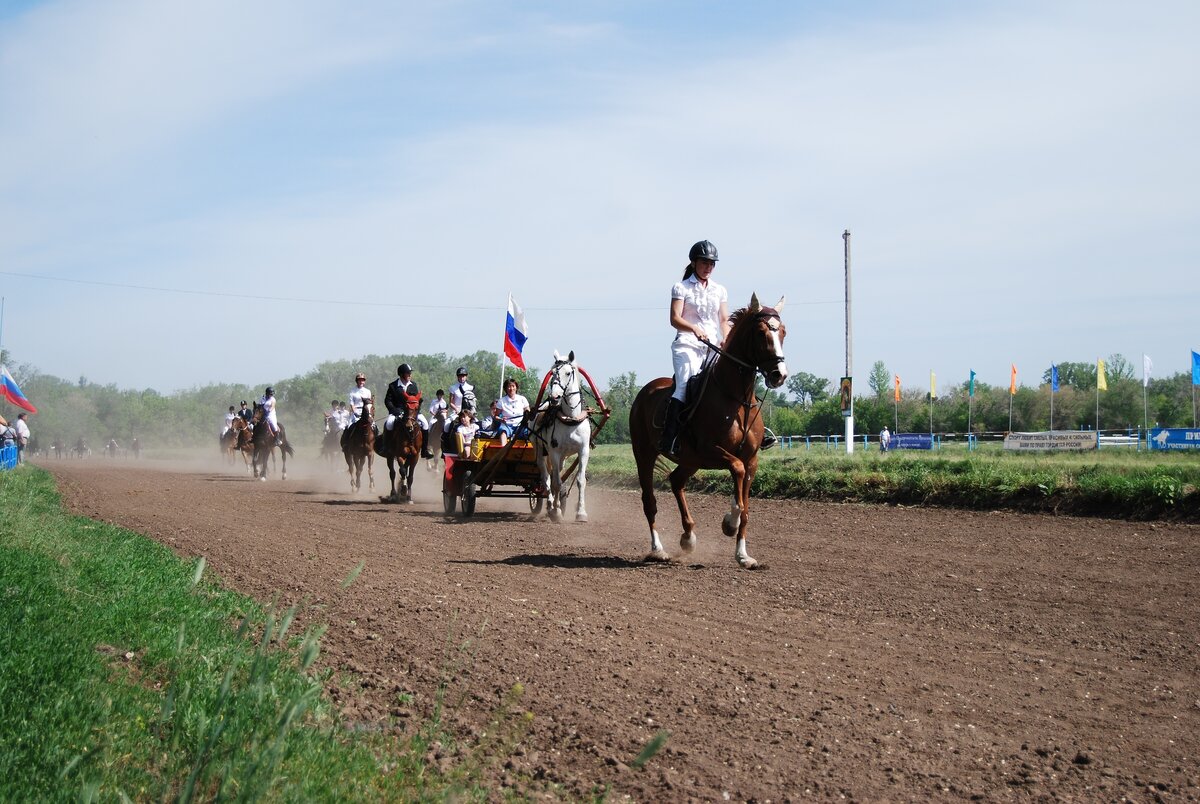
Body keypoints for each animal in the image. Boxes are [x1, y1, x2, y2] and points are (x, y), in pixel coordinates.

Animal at [535, 350, 590, 525]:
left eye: (568, 373)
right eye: (552, 373)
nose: (554, 397)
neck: (571, 419)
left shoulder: (583, 450)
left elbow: (580, 480)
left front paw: (581, 513)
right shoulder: (554, 451)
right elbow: (557, 483)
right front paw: (557, 511)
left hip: (564, 457)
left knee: (555, 475)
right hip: (541, 450)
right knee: (547, 478)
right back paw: (551, 505)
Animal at [628, 297, 787, 573]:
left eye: (784, 332)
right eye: (760, 332)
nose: (779, 375)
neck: (737, 401)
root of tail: (644, 392)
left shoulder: (752, 460)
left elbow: (745, 506)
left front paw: (743, 555)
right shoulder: (711, 450)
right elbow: (737, 471)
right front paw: (729, 522)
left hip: (689, 460)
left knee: (676, 481)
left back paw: (688, 537)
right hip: (645, 455)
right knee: (649, 502)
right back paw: (658, 550)